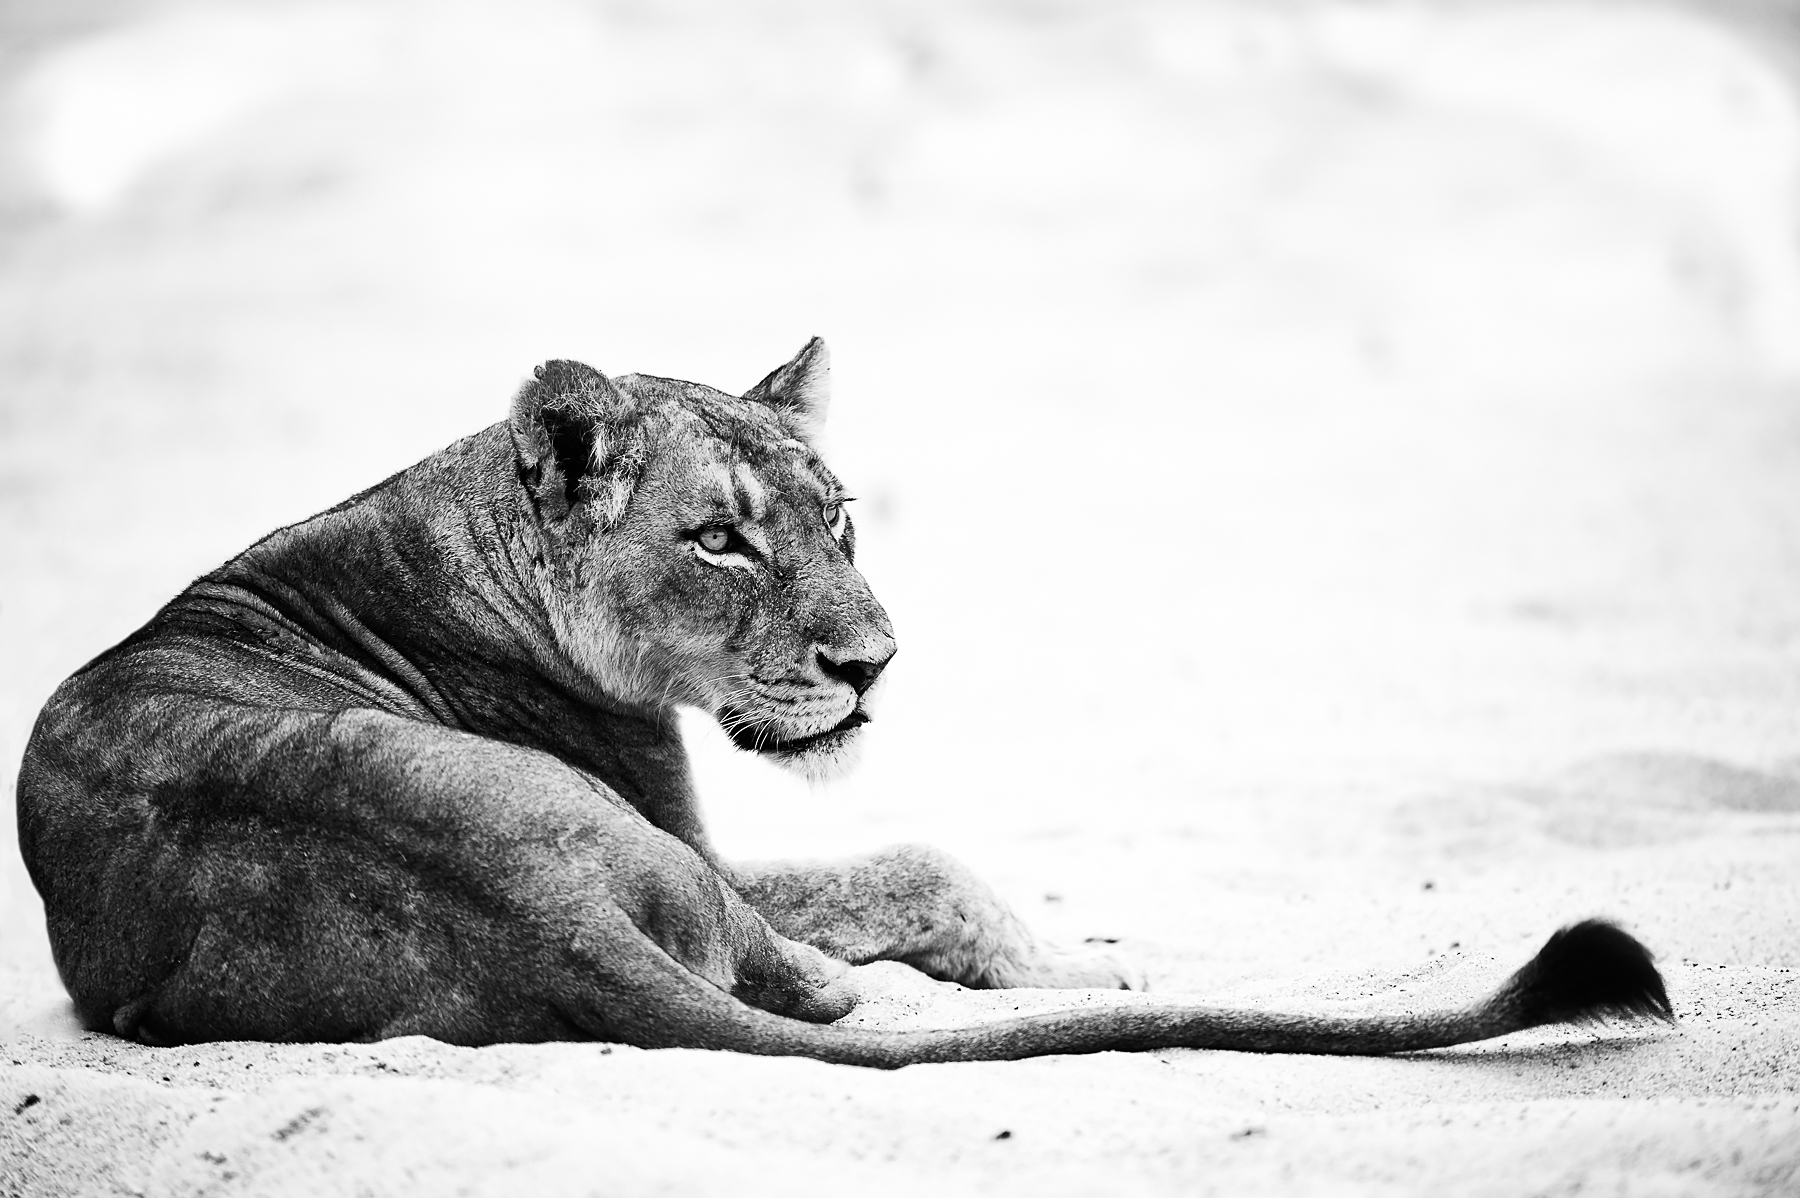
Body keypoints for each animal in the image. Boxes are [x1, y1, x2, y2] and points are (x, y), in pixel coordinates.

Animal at [16, 340, 1672, 1064]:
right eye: (720, 538)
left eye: (841, 520)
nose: (874, 662)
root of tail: (548, 914)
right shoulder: (713, 840)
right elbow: (927, 865)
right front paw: (1092, 961)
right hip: (677, 879)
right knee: (836, 988)